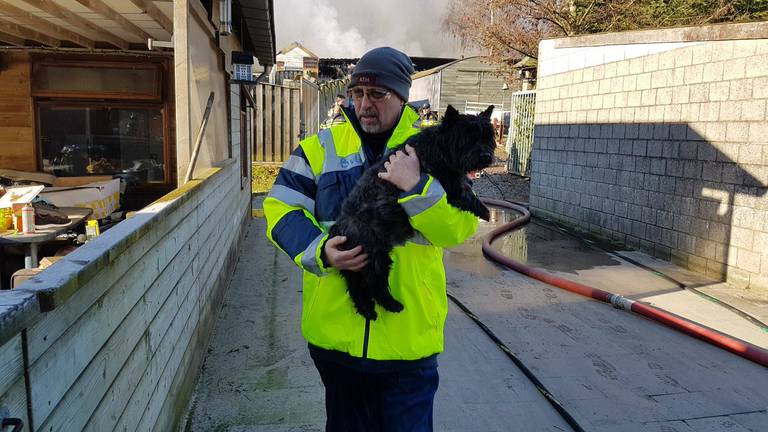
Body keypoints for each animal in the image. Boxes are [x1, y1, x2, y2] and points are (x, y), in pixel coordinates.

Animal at [328, 105, 496, 320]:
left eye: (487, 138)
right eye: (468, 139)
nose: (486, 156)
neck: (439, 147)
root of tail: (341, 229)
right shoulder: (450, 185)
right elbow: (465, 193)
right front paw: (484, 210)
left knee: (356, 285)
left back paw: (367, 309)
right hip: (376, 258)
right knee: (373, 284)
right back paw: (391, 304)